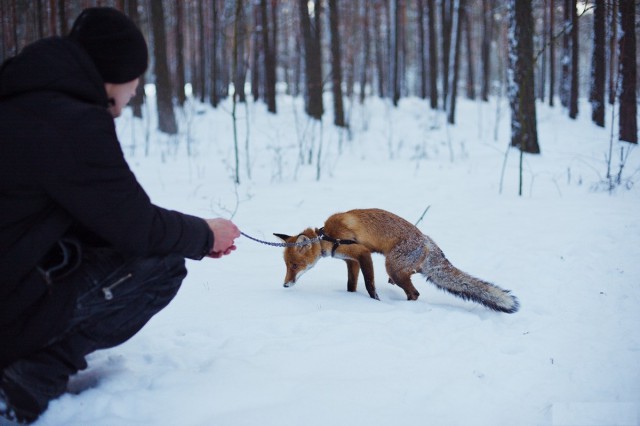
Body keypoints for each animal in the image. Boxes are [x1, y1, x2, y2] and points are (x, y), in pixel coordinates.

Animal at [276, 209, 520, 312]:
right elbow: (351, 285)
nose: (285, 285)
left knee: (415, 293)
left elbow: (370, 285)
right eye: (286, 266)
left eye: (295, 266)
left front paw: (375, 302)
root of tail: (427, 241)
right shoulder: (351, 261)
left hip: (391, 266)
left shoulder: (363, 254)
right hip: (398, 268)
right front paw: (351, 298)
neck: (327, 236)